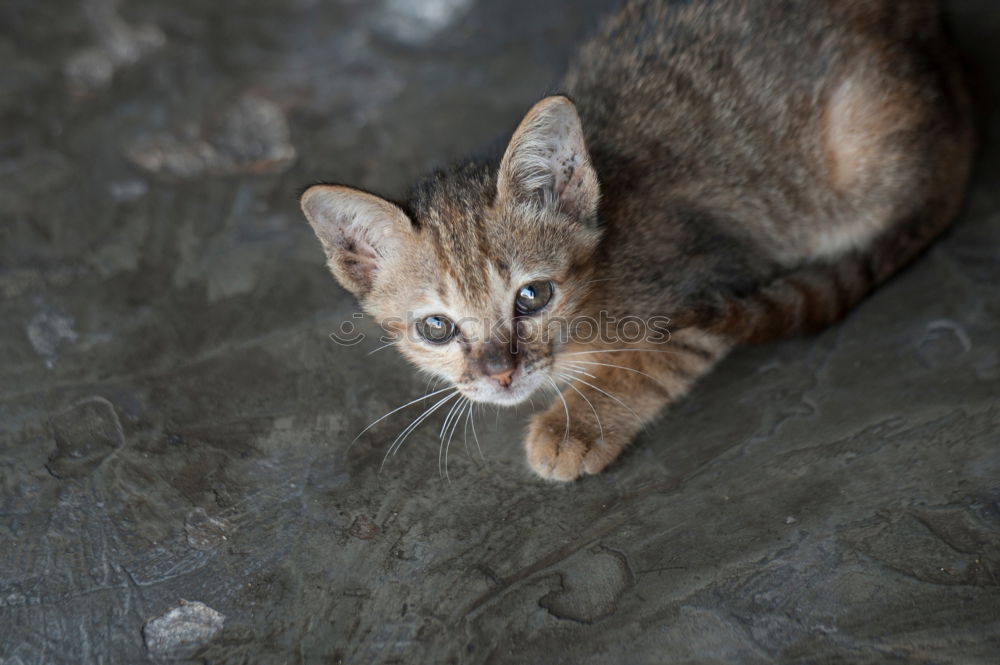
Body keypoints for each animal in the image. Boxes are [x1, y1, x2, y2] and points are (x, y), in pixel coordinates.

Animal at [300, 0, 972, 480]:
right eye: (436, 328)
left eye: (532, 297)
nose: (501, 375)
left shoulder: (711, 272)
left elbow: (649, 358)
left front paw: (575, 427)